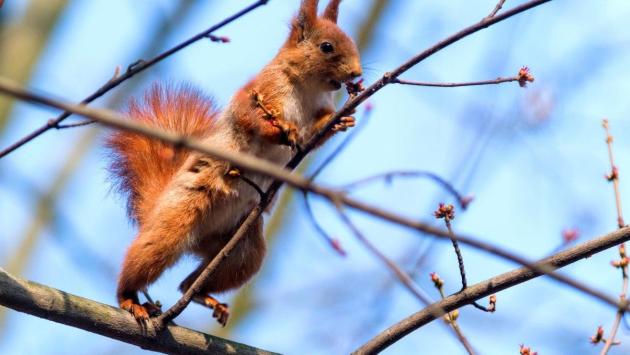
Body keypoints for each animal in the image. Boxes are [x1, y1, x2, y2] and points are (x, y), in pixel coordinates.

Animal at [107, 0, 360, 326]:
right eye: (326, 46)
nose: (356, 73)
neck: (307, 89)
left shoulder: (317, 112)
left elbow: (313, 135)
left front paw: (340, 120)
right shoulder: (259, 92)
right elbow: (249, 119)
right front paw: (282, 130)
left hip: (242, 251)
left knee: (190, 284)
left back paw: (206, 296)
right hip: (176, 220)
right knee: (147, 258)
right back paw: (130, 299)